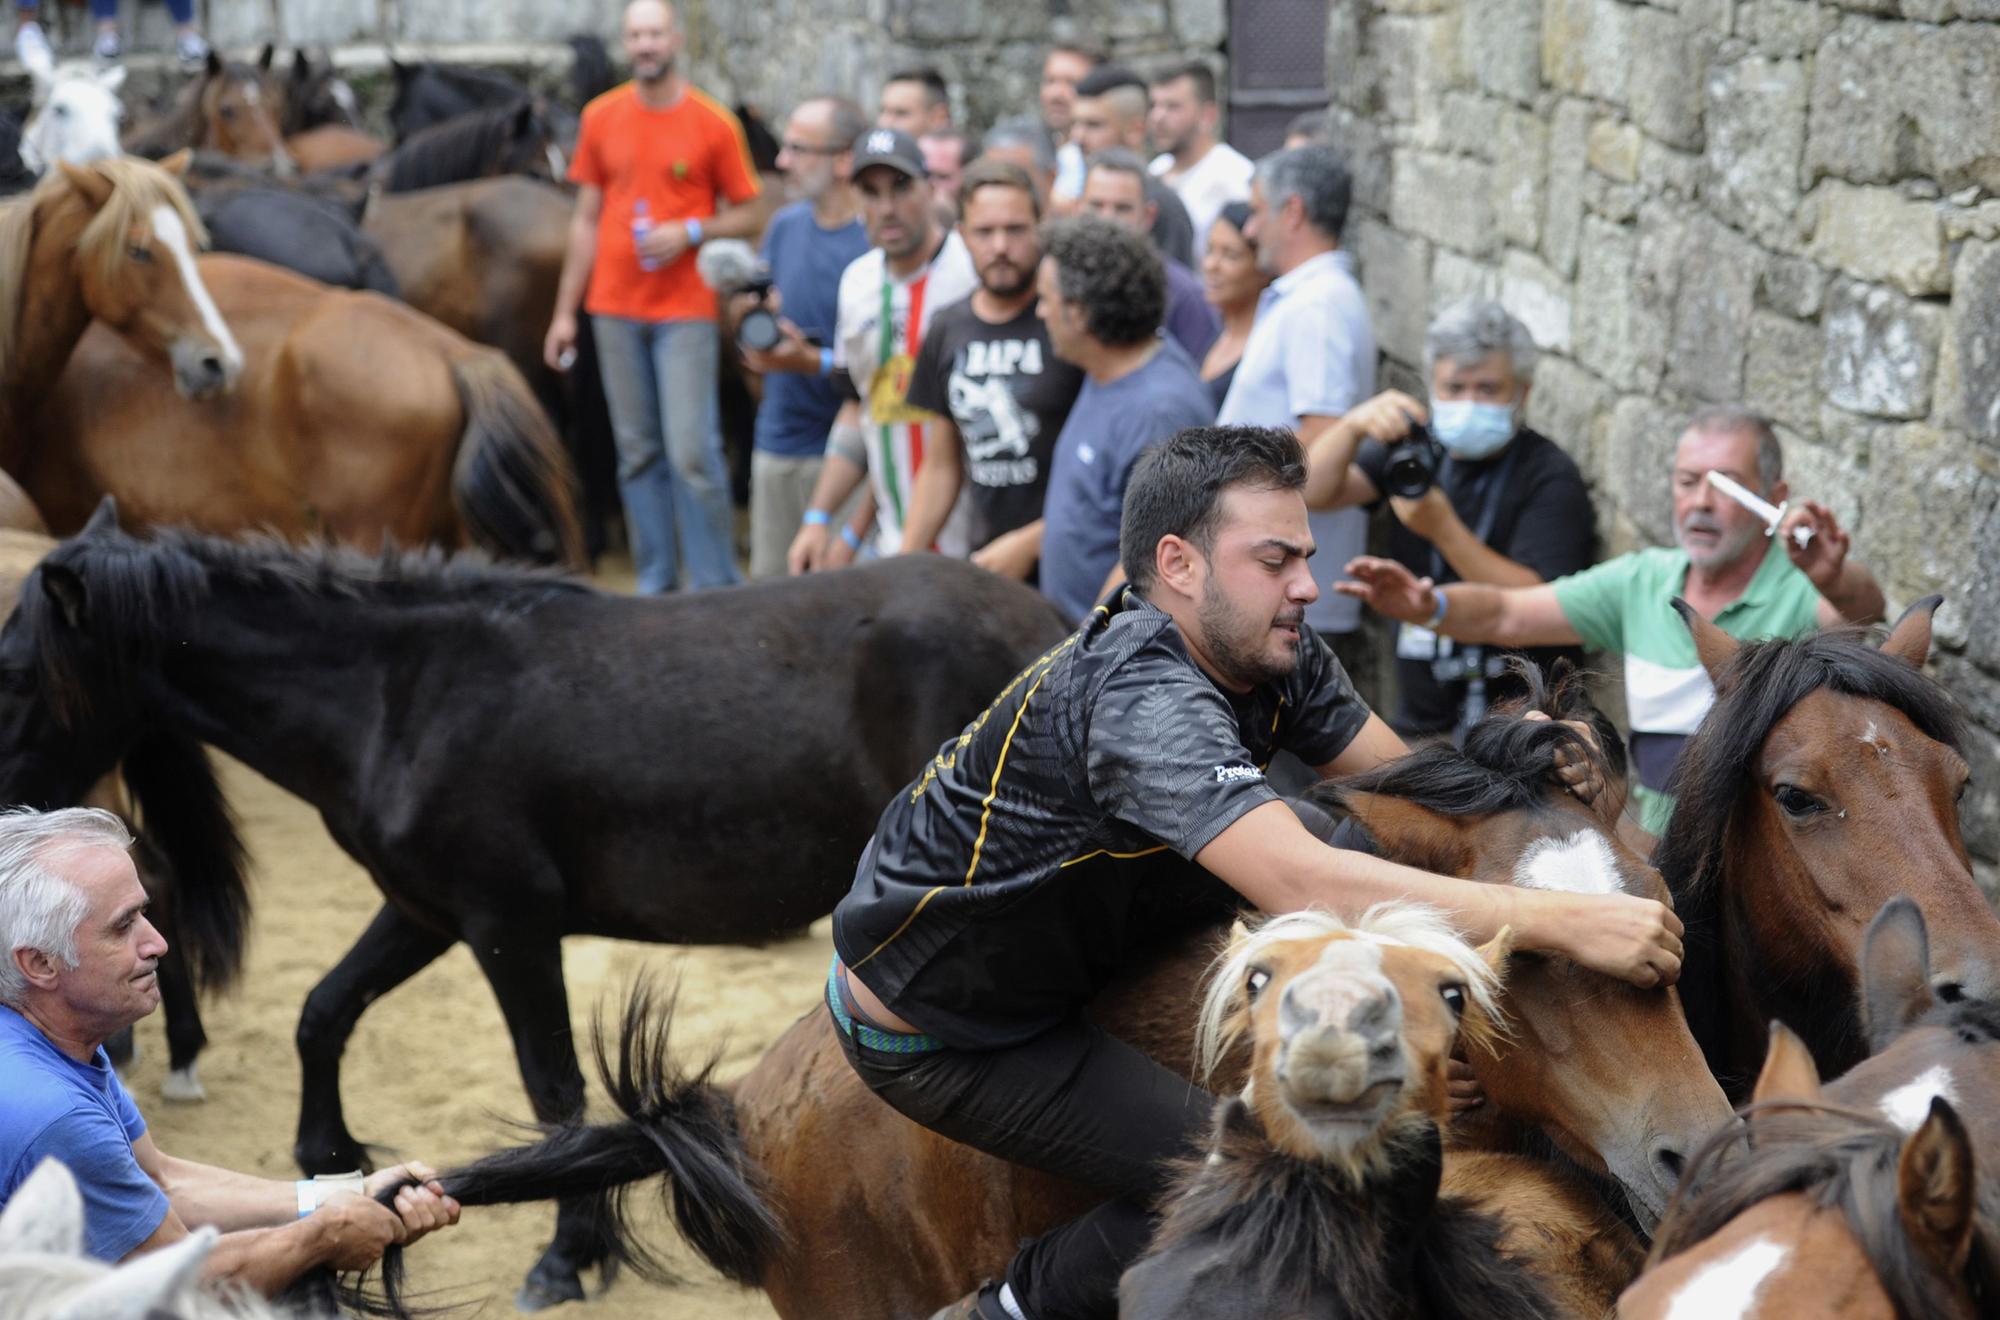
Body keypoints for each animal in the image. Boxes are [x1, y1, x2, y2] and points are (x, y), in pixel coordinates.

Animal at [0, 506, 1080, 1312]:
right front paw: (332, 1162)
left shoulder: (507, 925)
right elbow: (324, 1011)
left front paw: (567, 1258)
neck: (402, 696)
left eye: (18, 674)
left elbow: (553, 1090)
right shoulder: (425, 912)